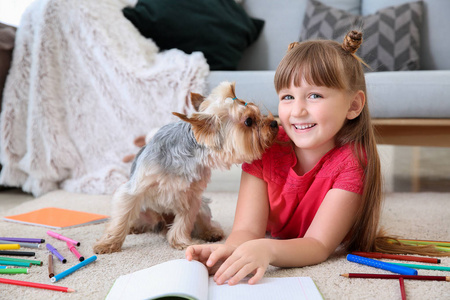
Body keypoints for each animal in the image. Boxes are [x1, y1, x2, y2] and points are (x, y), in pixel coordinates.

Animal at [92, 82, 278, 253]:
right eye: (248, 121)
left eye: (258, 112)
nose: (274, 123)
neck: (188, 156)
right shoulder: (134, 189)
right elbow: (121, 218)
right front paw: (109, 243)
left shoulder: (190, 196)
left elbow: (185, 221)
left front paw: (180, 241)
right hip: (145, 211)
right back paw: (135, 227)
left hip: (202, 206)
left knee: (202, 220)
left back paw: (210, 232)